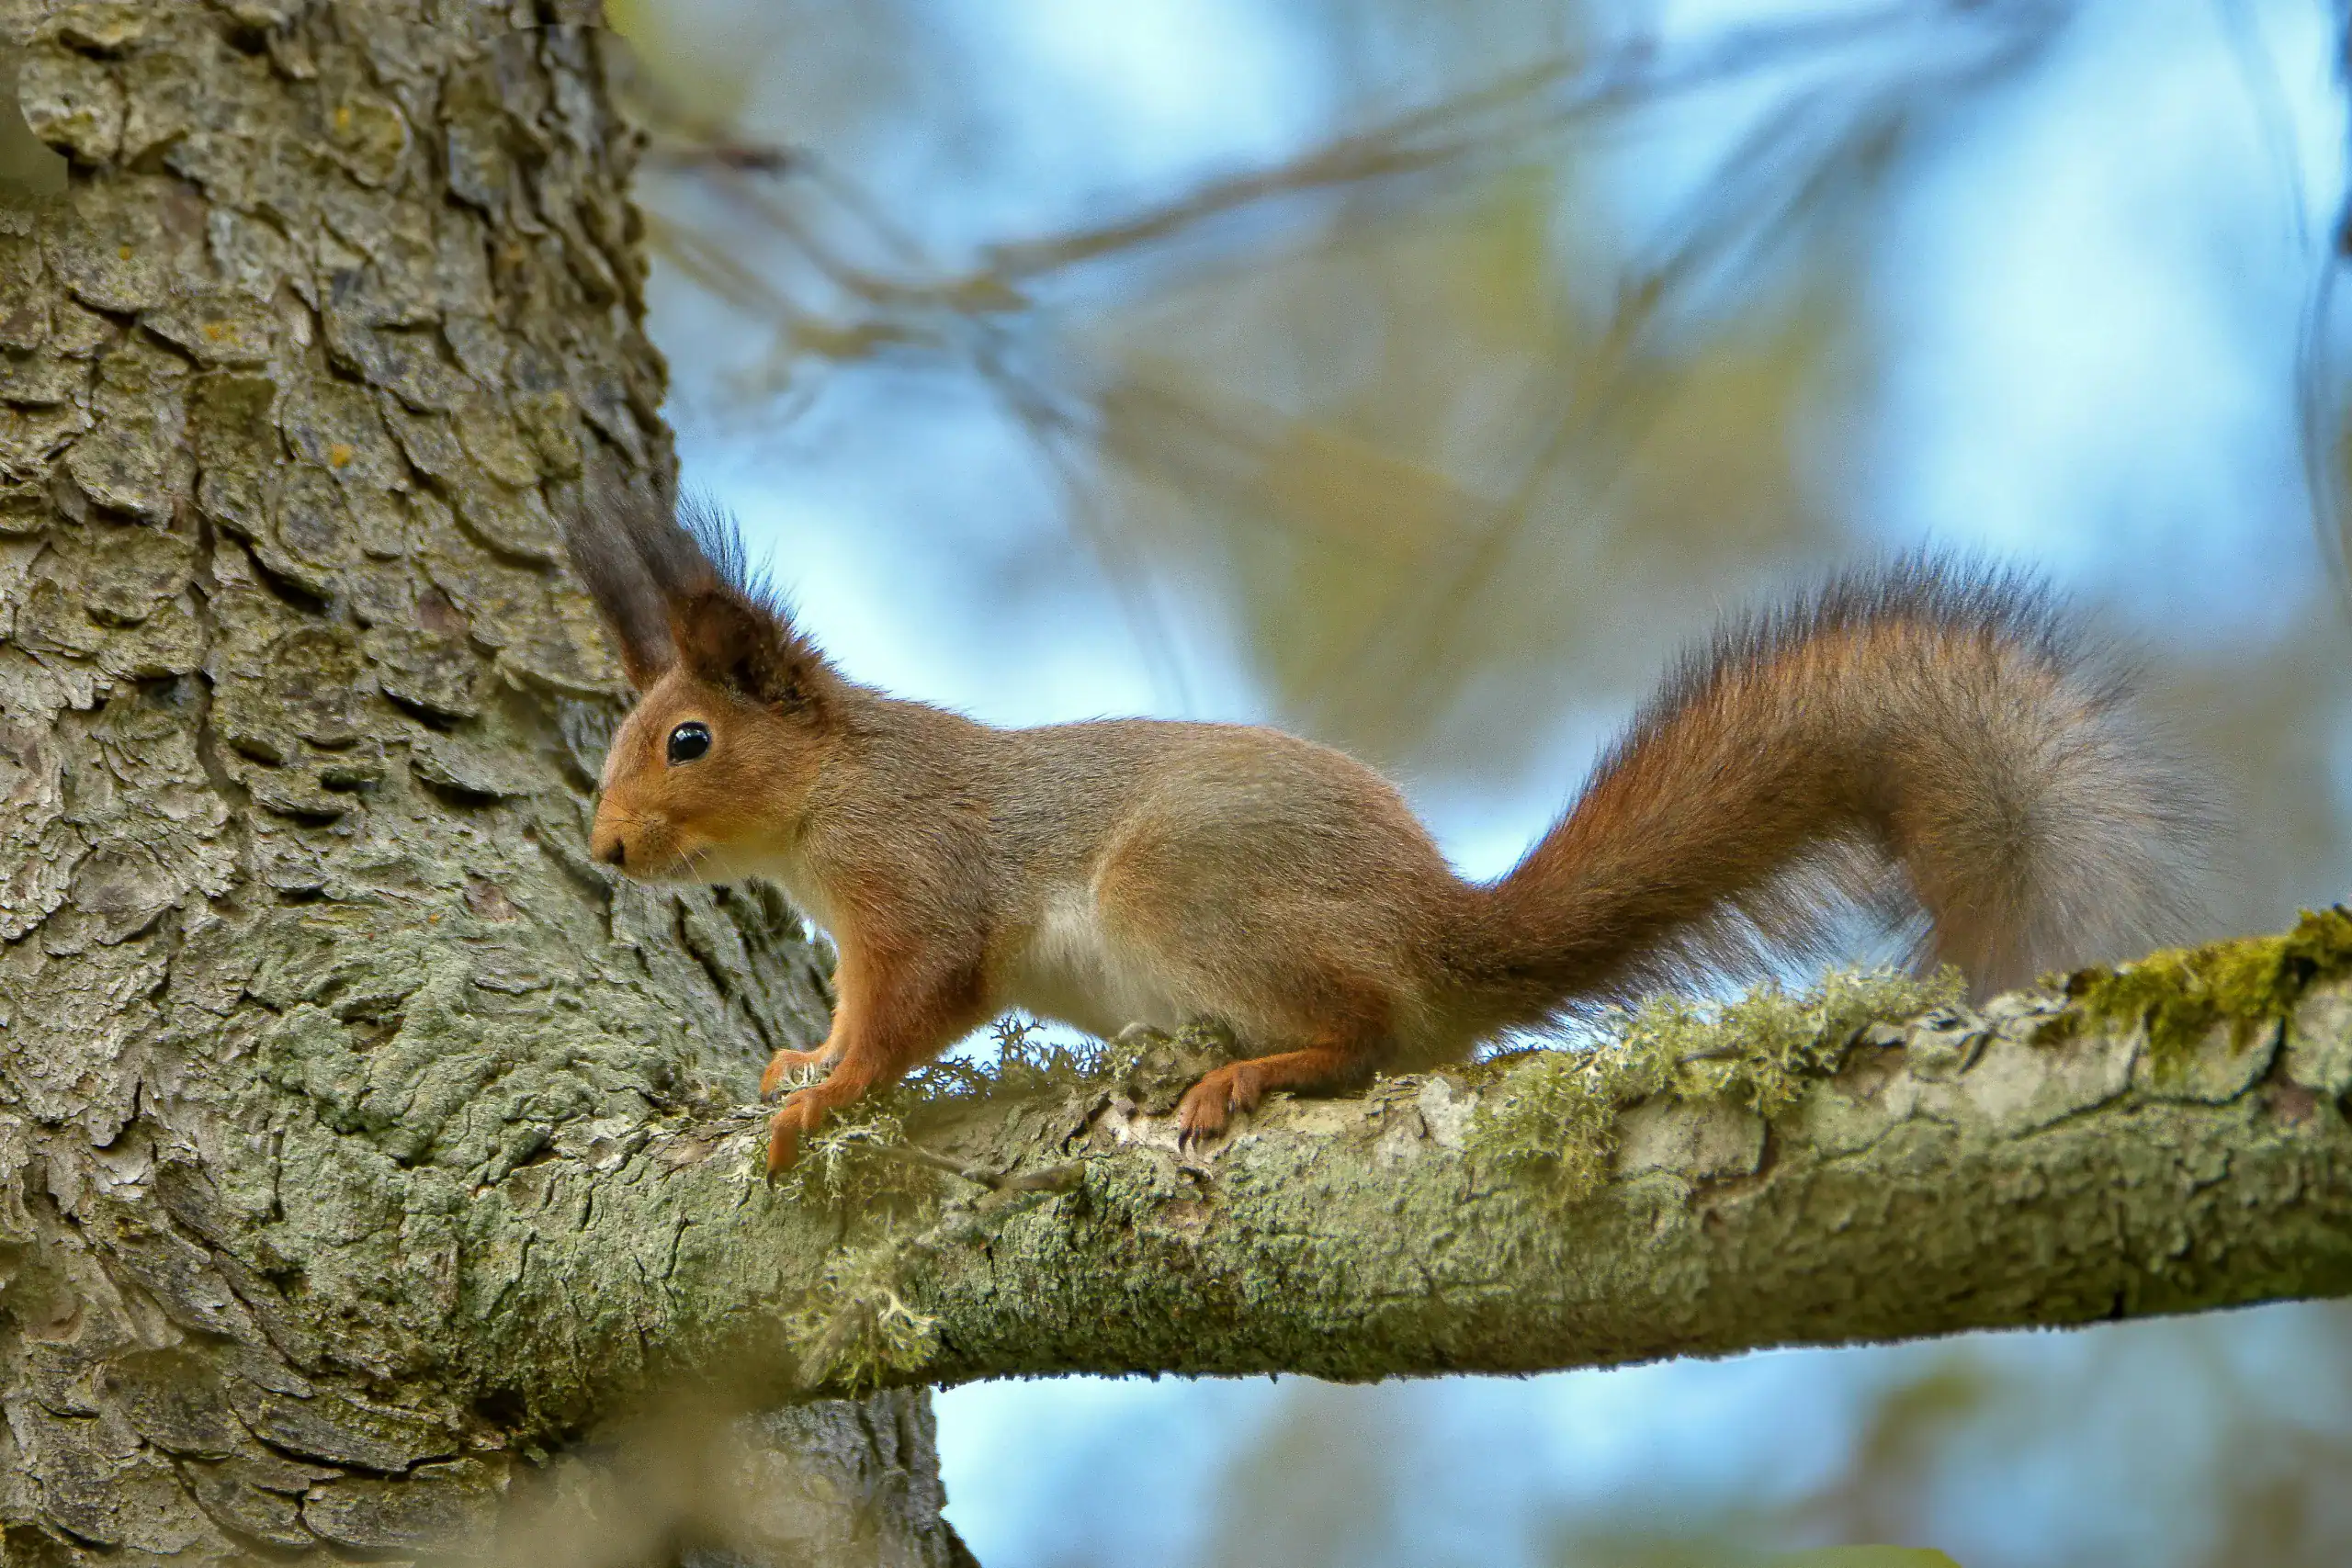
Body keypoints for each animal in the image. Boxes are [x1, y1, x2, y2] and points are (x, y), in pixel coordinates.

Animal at [564, 490, 2210, 1176]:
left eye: (688, 741)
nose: (607, 850)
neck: (831, 793)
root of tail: (1442, 925)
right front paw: (798, 1057)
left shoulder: (914, 882)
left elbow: (912, 1003)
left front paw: (827, 1088)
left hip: (1180, 892)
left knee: (1362, 1027)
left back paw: (1254, 1070)